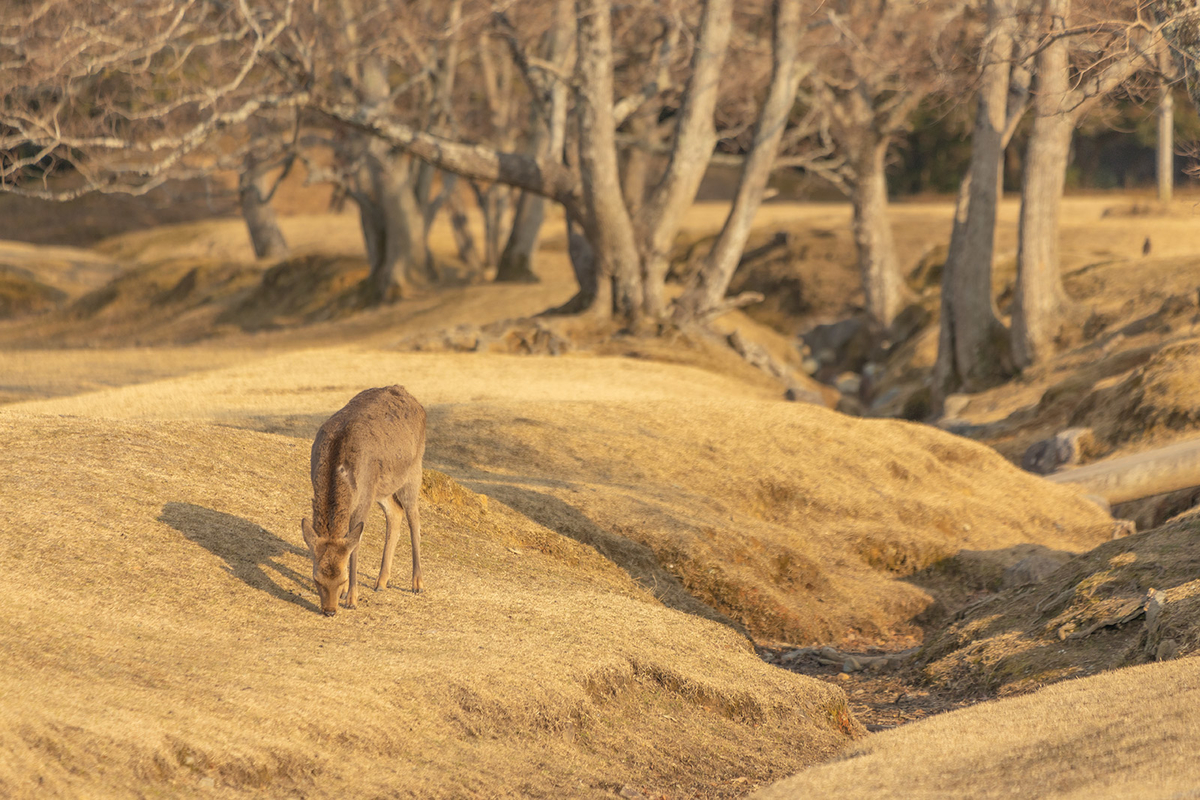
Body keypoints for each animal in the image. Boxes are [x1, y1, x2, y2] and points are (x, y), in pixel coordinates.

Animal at [300, 383, 427, 618]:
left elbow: (355, 546)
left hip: (413, 470)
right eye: (316, 579)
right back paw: (381, 582)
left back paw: (417, 583)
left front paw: (351, 599)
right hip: (383, 488)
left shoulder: (364, 497)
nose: (329, 611)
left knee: (414, 517)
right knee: (395, 512)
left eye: (343, 578)